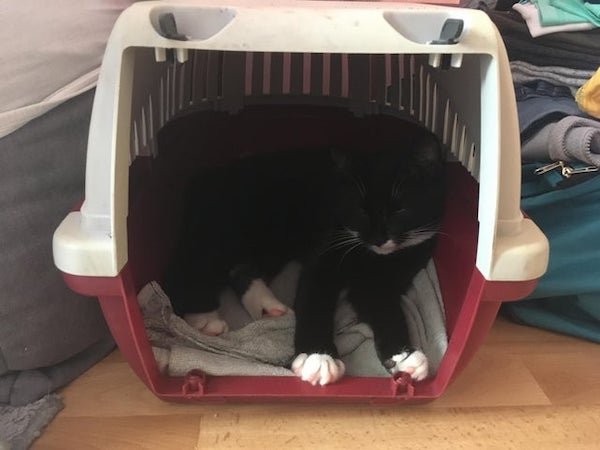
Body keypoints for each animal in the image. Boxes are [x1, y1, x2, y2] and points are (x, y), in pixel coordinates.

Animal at [164, 128, 446, 384]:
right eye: (360, 210)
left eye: (399, 209)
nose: (378, 238)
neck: (372, 255)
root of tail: (207, 176)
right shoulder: (325, 254)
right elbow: (314, 300)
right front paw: (318, 357)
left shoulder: (390, 275)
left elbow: (384, 309)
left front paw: (404, 356)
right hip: (230, 224)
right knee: (197, 260)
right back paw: (203, 318)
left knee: (238, 266)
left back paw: (267, 307)